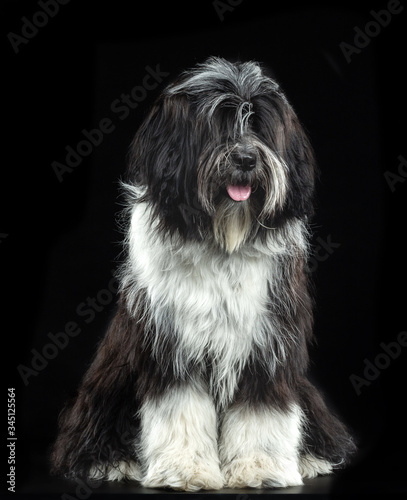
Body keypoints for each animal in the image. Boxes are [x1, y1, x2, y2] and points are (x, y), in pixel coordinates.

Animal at [51, 57, 356, 488]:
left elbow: (261, 411)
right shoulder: (173, 346)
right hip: (106, 384)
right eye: (216, 126)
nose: (245, 159)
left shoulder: (266, 344)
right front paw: (186, 469)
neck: (223, 240)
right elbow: (181, 410)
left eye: (258, 124)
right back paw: (110, 463)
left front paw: (259, 468)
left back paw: (312, 458)